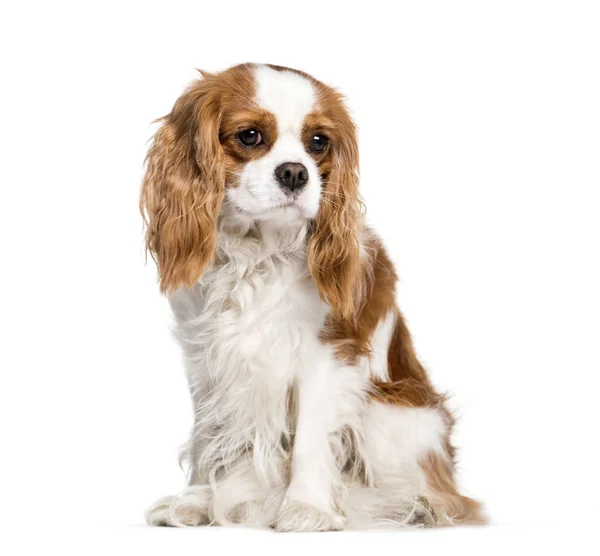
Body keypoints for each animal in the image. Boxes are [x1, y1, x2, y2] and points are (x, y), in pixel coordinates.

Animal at [139, 62, 482, 528]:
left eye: (318, 141)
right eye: (250, 136)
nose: (295, 172)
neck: (258, 253)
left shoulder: (328, 355)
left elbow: (311, 438)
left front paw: (308, 507)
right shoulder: (206, 355)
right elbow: (207, 434)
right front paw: (197, 500)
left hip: (390, 415)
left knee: (446, 497)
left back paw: (410, 506)